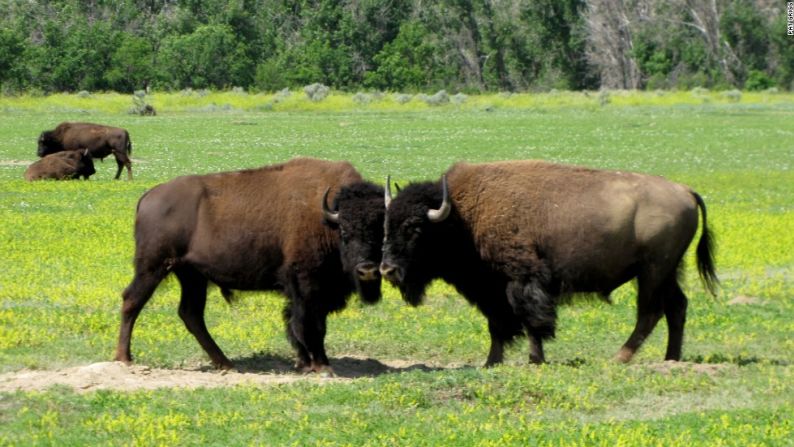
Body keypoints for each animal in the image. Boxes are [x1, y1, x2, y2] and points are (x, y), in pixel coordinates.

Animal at [116, 158, 386, 374]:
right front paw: (322, 366)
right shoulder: (308, 286)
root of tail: (149, 196)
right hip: (152, 267)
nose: (367, 270)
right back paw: (124, 359)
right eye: (345, 232)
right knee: (132, 301)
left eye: (382, 231)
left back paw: (226, 363)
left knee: (190, 314)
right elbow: (312, 325)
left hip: (192, 275)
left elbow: (295, 323)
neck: (326, 219)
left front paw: (304, 363)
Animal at [378, 161, 716, 368]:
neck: (461, 217)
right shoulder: (491, 291)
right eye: (386, 224)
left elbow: (530, 321)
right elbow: (497, 326)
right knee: (676, 307)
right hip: (668, 271)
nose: (387, 270)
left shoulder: (521, 282)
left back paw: (619, 357)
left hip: (652, 272)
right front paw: (491, 363)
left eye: (414, 228)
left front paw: (534, 359)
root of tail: (686, 191)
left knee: (650, 312)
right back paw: (671, 358)